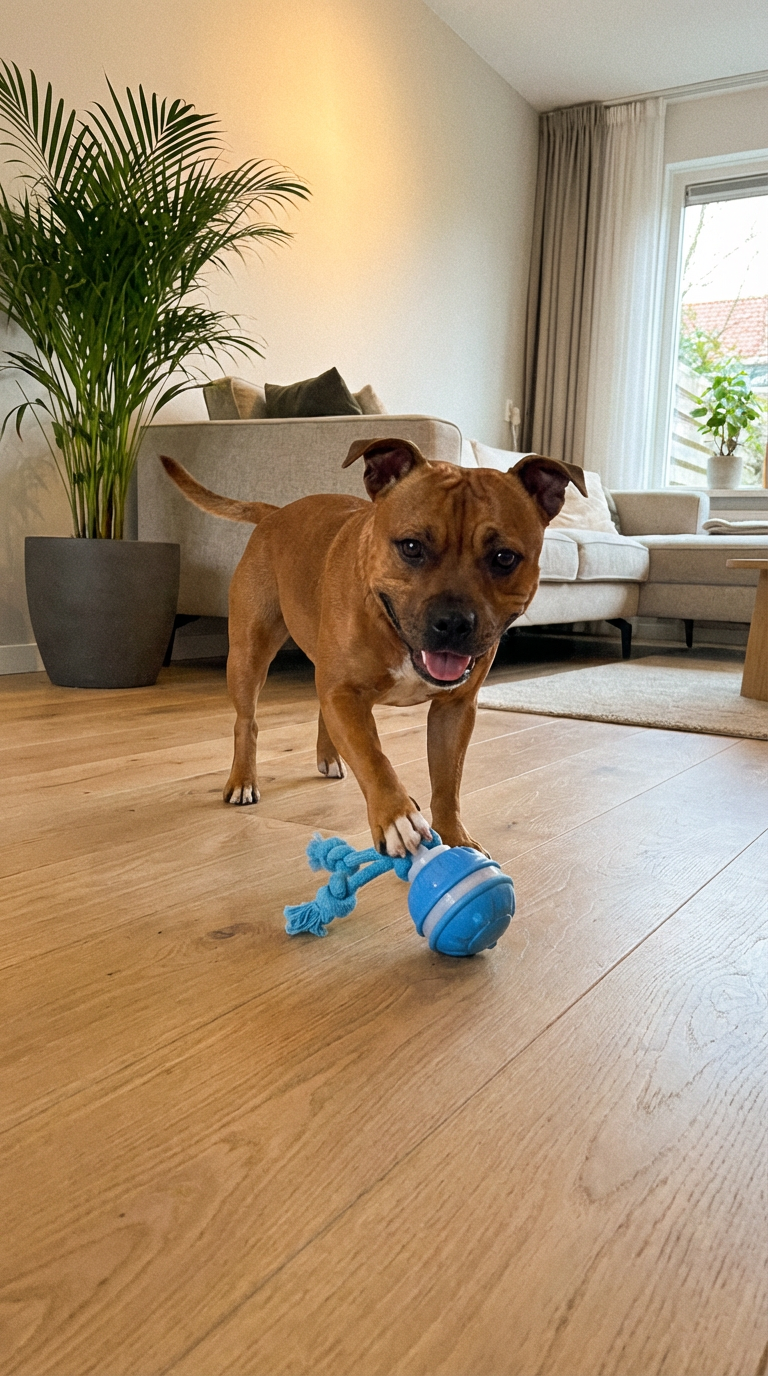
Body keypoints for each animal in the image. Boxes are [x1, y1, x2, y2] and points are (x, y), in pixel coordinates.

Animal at [160, 441, 586, 858]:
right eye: (411, 546)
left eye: (504, 557)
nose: (452, 622)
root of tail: (275, 513)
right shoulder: (346, 694)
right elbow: (374, 757)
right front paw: (396, 818)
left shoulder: (454, 709)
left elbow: (447, 782)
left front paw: (455, 837)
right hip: (250, 652)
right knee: (246, 721)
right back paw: (243, 780)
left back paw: (329, 755)